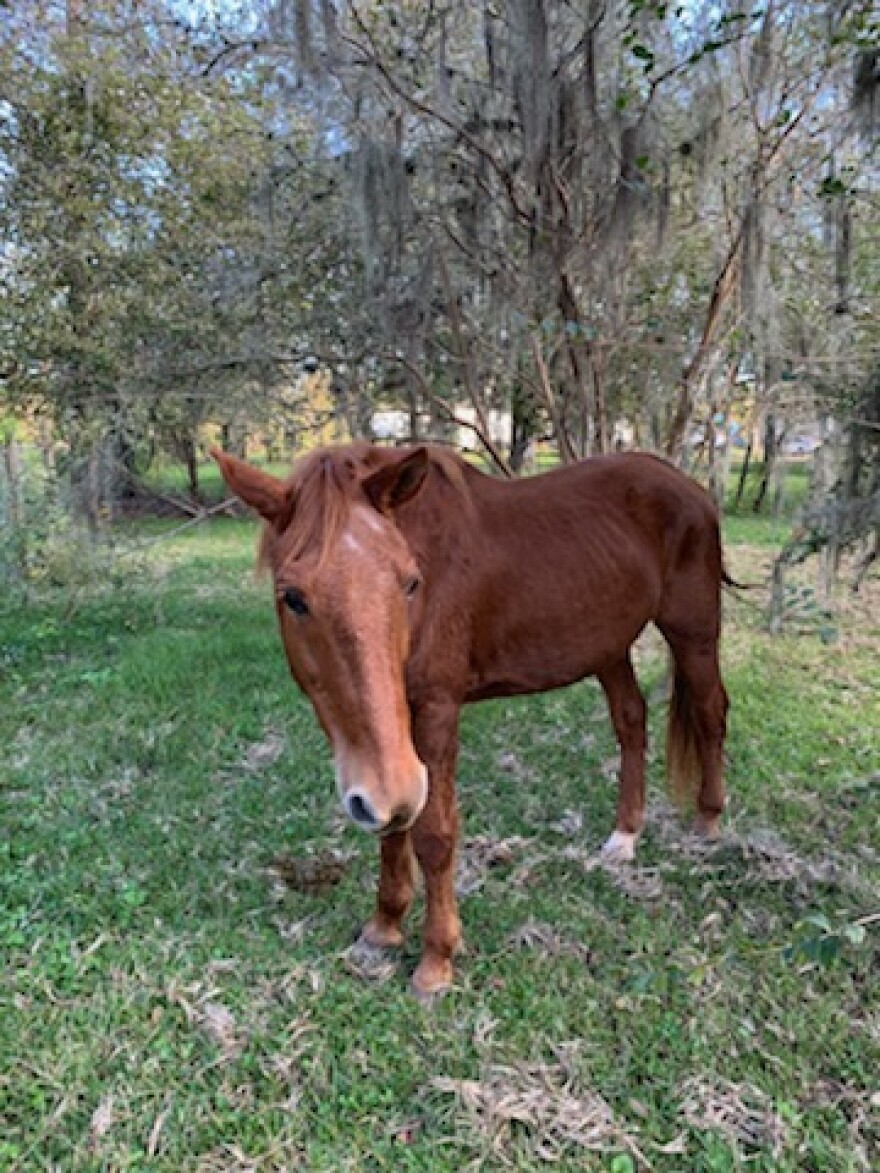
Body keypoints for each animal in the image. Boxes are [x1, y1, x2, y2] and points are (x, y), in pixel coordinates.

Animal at [213, 443, 732, 994]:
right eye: (292, 597)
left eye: (410, 582)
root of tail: (692, 490)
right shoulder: (390, 748)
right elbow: (394, 825)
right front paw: (383, 928)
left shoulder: (435, 711)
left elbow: (433, 833)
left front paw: (436, 961)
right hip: (609, 647)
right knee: (631, 723)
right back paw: (625, 836)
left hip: (693, 633)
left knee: (710, 713)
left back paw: (707, 822)